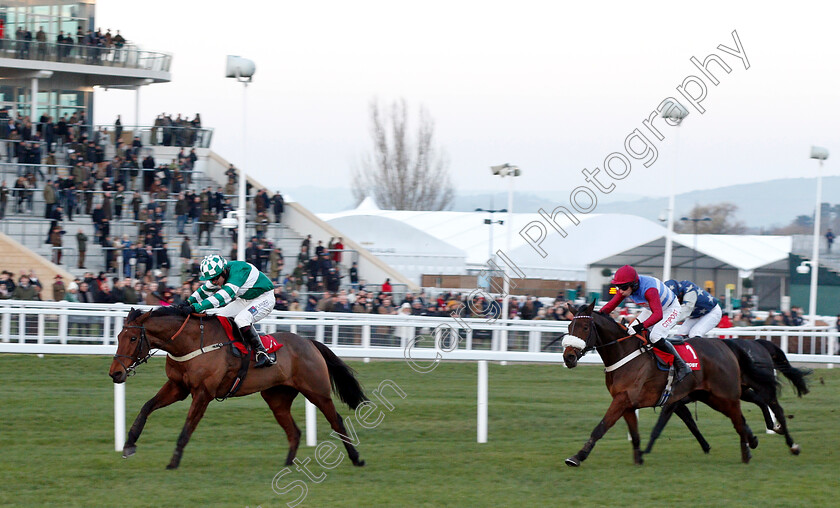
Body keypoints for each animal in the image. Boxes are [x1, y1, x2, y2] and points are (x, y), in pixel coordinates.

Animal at [106, 306, 366, 468]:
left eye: (132, 338)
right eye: (118, 336)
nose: (115, 373)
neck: (192, 343)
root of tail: (309, 342)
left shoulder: (203, 393)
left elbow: (187, 428)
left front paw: (173, 462)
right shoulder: (178, 386)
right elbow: (146, 407)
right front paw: (129, 444)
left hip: (316, 391)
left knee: (336, 421)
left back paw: (356, 458)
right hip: (277, 398)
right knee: (294, 431)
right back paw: (287, 464)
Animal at [560, 300, 756, 466]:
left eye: (585, 327)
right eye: (569, 326)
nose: (568, 357)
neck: (623, 352)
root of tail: (724, 345)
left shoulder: (622, 399)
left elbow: (601, 427)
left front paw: (577, 457)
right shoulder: (627, 404)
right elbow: (635, 434)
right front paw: (639, 459)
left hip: (725, 395)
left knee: (738, 419)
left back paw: (746, 452)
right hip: (709, 396)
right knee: (738, 418)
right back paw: (750, 443)